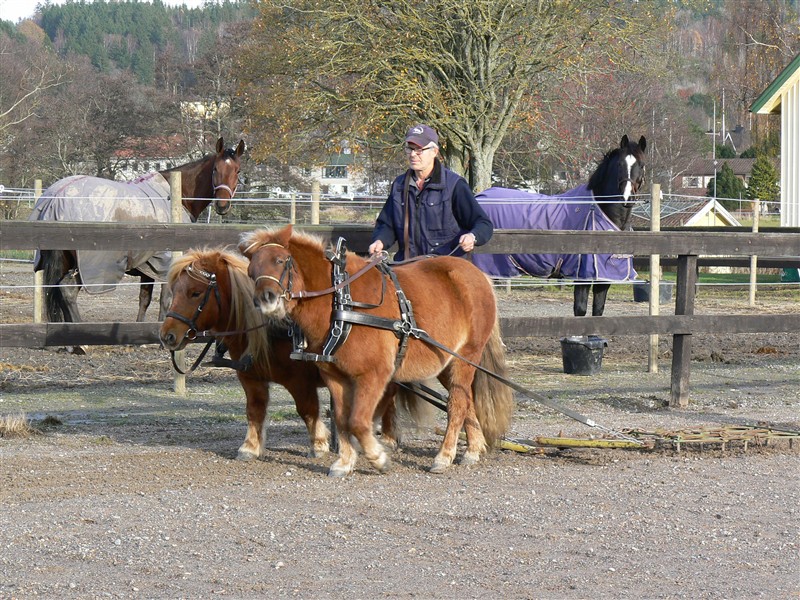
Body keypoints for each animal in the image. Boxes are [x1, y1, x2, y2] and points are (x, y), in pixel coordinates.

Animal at [29, 137, 245, 328]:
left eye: (237, 170)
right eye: (215, 169)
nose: (222, 205)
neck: (179, 196)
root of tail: (55, 197)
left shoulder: (149, 266)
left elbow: (144, 299)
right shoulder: (166, 263)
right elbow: (166, 299)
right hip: (89, 265)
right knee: (68, 291)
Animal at [159, 246, 404, 462]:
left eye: (195, 293)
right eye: (175, 290)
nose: (167, 336)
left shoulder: (300, 381)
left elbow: (307, 410)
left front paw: (318, 444)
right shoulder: (250, 378)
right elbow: (254, 410)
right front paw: (250, 447)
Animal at [239, 225, 512, 478]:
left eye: (280, 260)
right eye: (251, 272)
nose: (266, 300)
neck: (342, 300)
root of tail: (476, 274)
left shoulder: (374, 374)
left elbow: (358, 421)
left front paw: (377, 457)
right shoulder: (335, 376)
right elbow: (342, 419)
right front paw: (345, 462)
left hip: (467, 357)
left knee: (456, 403)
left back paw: (444, 456)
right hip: (447, 362)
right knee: (467, 400)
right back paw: (473, 449)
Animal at [472, 135, 648, 318]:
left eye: (642, 165)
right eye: (620, 164)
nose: (626, 197)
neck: (600, 210)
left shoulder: (605, 279)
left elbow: (598, 311)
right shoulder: (582, 276)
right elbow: (580, 310)